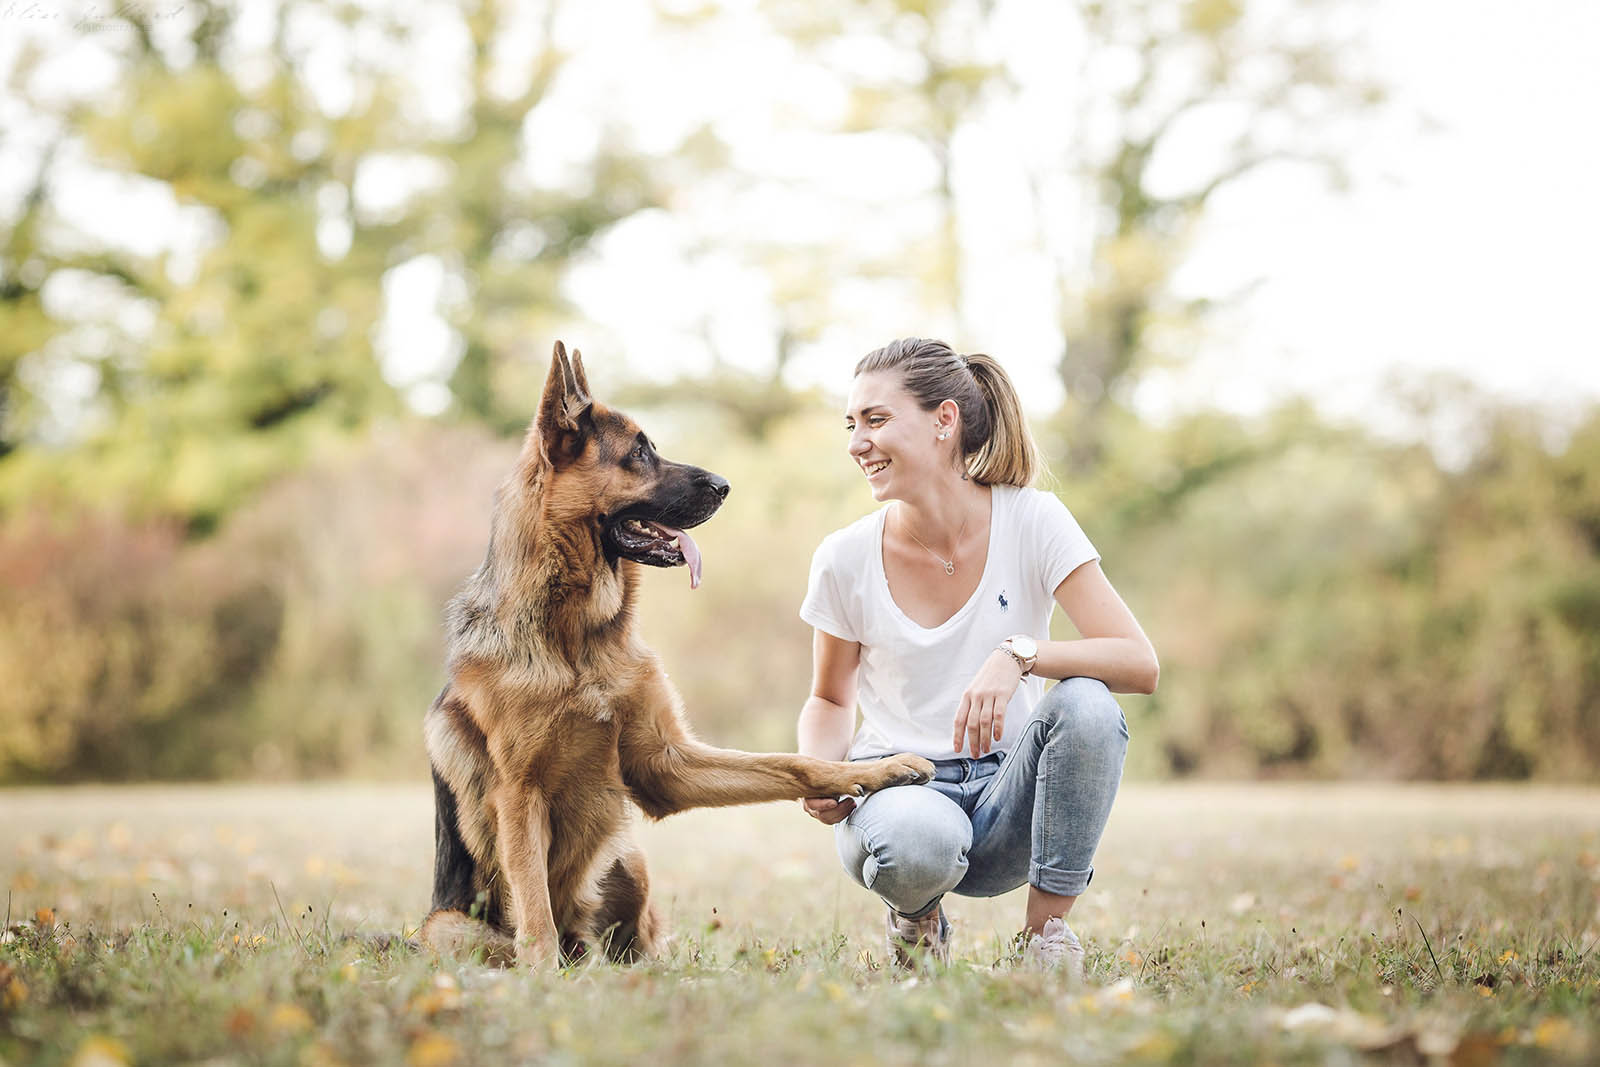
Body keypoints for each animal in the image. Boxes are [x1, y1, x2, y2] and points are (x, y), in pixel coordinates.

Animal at [422, 343, 934, 966]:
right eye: (640, 452)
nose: (725, 484)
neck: (580, 640)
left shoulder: (667, 763)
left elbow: (793, 764)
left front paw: (882, 769)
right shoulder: (518, 796)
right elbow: (533, 905)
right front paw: (542, 975)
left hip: (630, 862)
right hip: (450, 927)